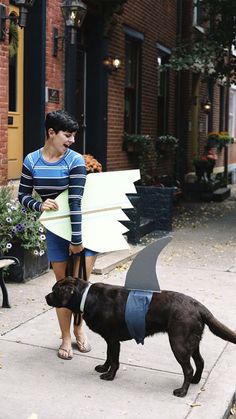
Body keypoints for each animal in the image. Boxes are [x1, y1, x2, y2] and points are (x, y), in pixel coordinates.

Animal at [44, 278, 236, 398]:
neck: (86, 296)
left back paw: (182, 391)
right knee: (200, 362)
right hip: (192, 341)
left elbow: (115, 360)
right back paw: (196, 381)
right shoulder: (109, 339)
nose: (45, 297)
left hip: (179, 343)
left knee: (188, 369)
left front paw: (109, 376)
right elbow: (108, 356)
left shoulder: (113, 339)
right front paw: (103, 368)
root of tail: (197, 305)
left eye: (54, 290)